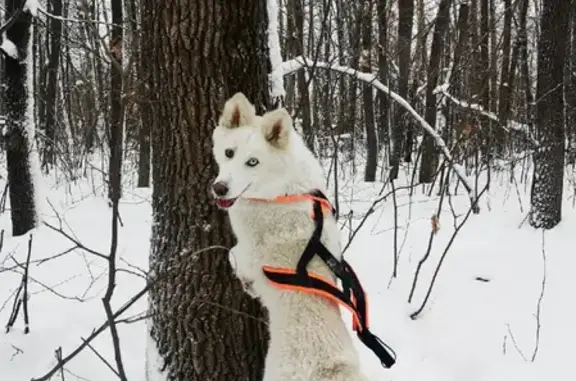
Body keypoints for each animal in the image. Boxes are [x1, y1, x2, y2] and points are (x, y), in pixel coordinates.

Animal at [212, 92, 368, 380]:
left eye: (252, 162)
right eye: (229, 153)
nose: (220, 188)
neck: (283, 189)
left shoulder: (248, 252)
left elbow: (235, 257)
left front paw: (243, 278)